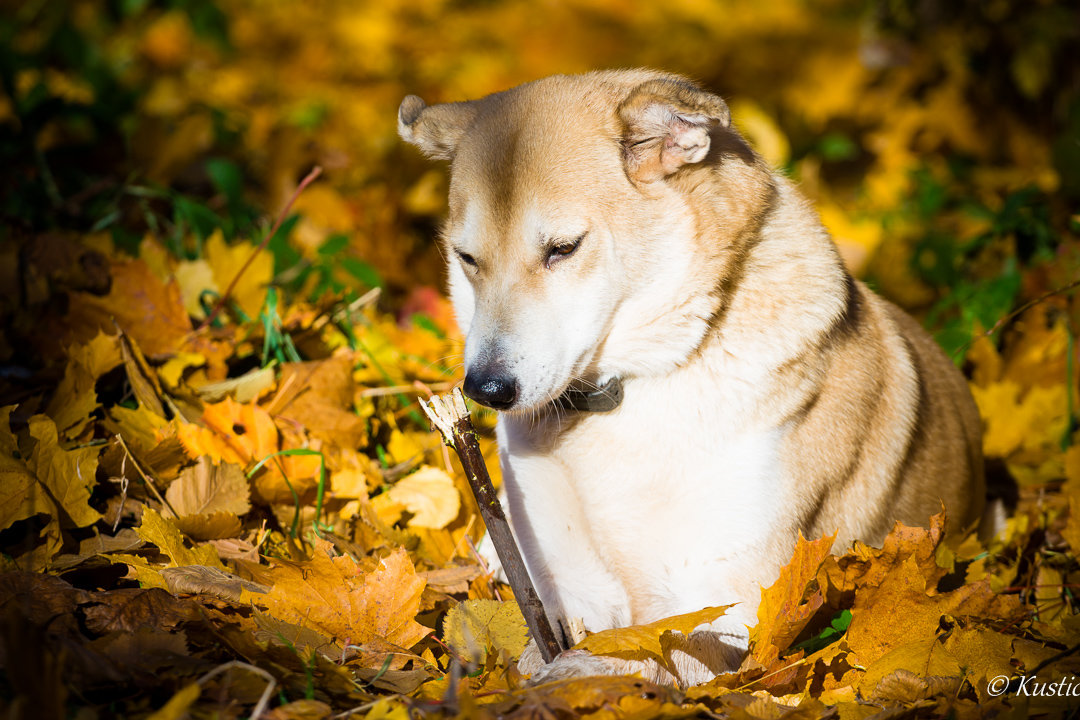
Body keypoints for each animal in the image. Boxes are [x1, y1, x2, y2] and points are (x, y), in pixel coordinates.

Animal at [399, 69, 989, 686]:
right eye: (466, 258)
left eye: (563, 248)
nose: (485, 389)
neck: (626, 392)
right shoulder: (567, 588)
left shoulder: (734, 611)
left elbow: (633, 658)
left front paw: (561, 679)